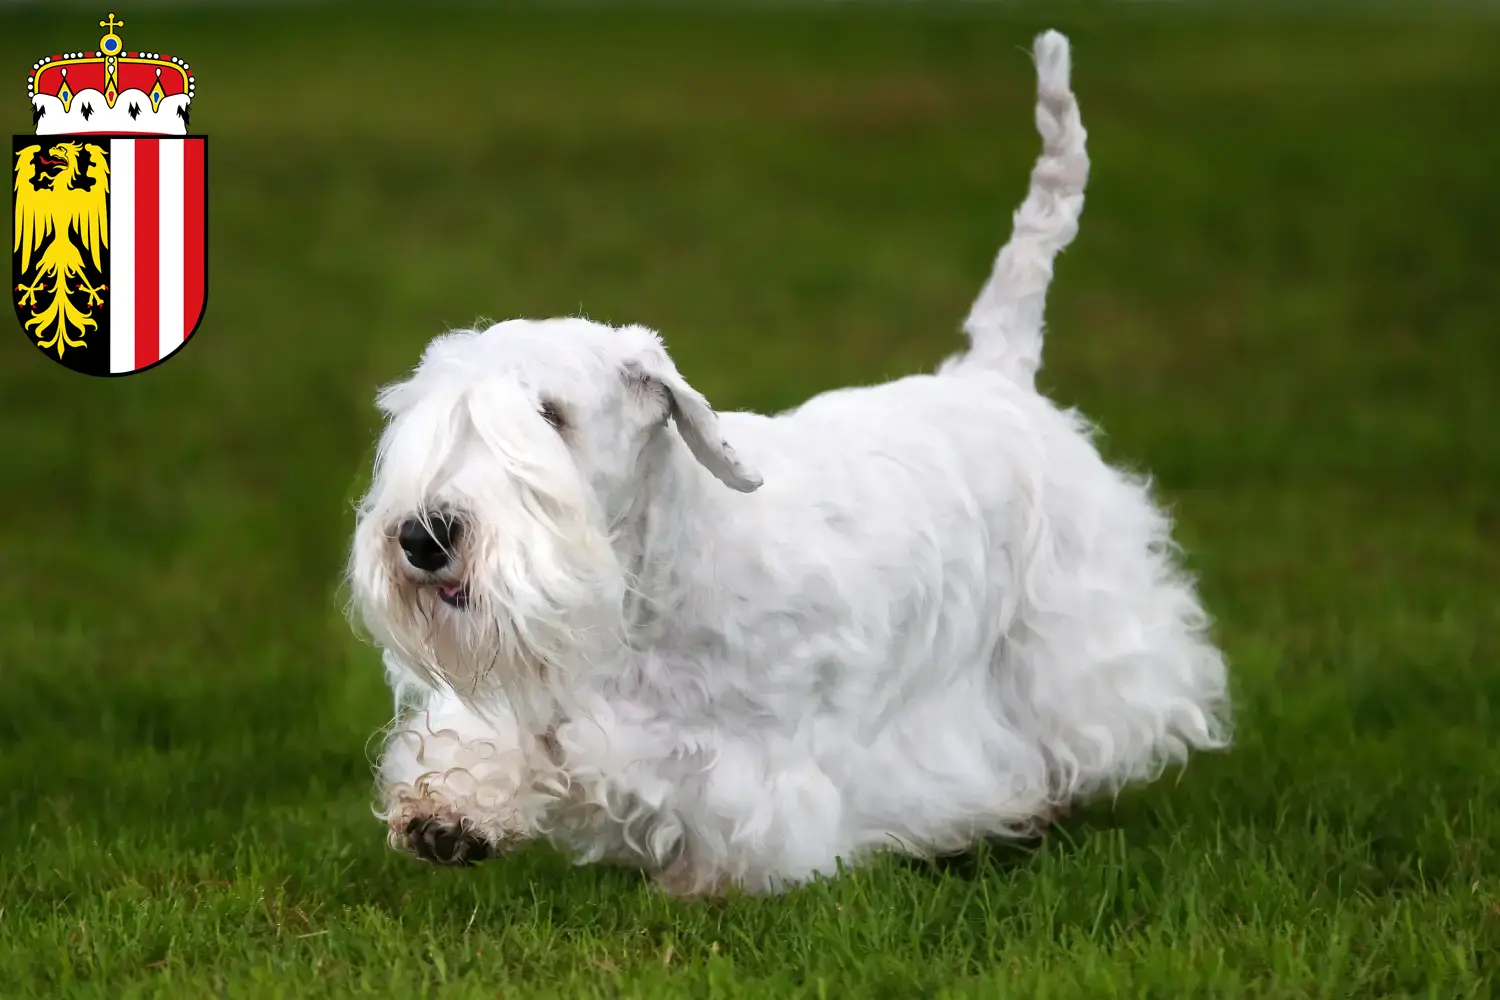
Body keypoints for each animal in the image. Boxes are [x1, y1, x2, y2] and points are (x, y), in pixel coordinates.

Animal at [348, 31, 1230, 893]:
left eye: (550, 414)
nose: (423, 538)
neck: (642, 593)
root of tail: (994, 373)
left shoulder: (752, 769)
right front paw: (447, 817)